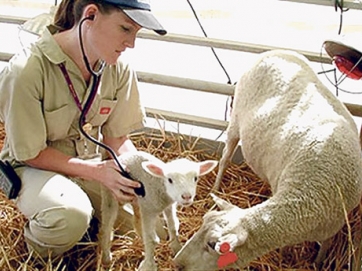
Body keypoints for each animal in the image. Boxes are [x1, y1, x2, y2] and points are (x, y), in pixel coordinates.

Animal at [173, 50, 362, 270]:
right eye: (202, 220)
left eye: (212, 245)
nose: (177, 262)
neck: (312, 195)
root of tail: (273, 52)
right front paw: (284, 254)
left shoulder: (334, 225)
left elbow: (324, 247)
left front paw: (318, 262)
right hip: (235, 120)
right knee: (225, 159)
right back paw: (216, 188)